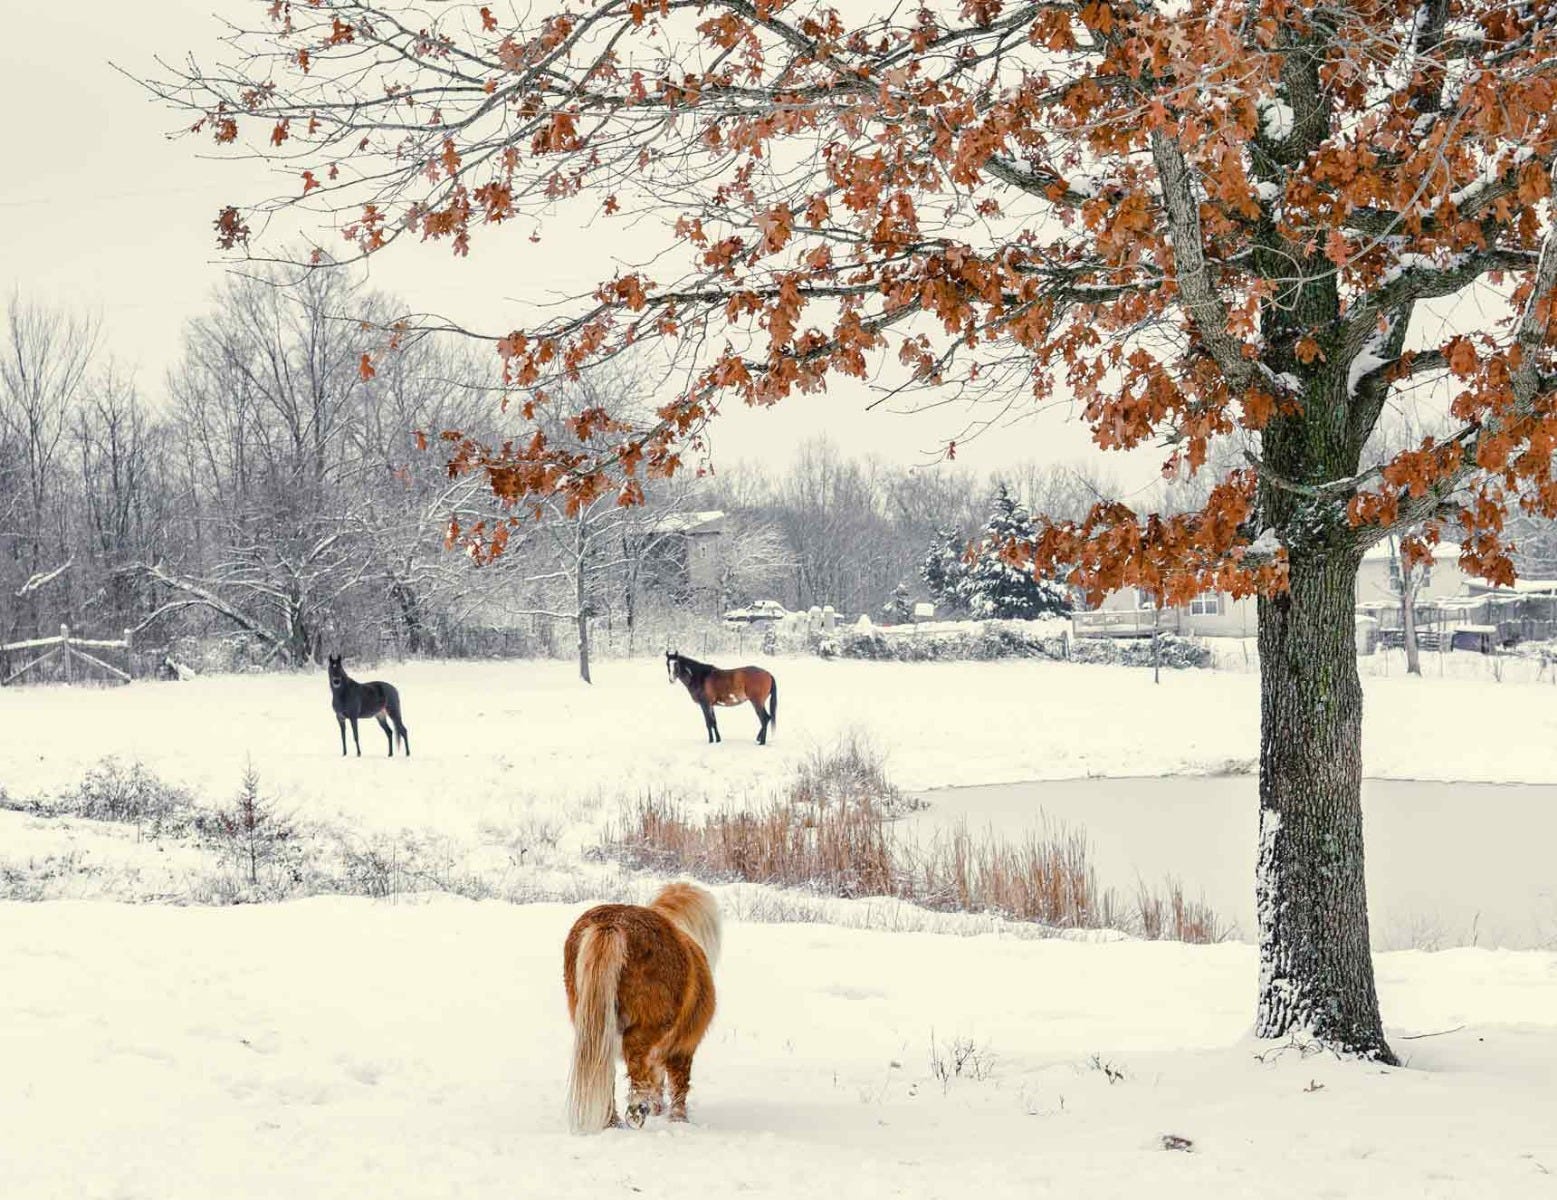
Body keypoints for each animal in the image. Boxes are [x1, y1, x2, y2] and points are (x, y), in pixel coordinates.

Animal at [566, 877, 722, 1133]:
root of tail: (612, 923)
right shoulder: (683, 1047)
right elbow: (679, 1085)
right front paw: (678, 1120)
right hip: (649, 1025)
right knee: (637, 1061)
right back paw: (637, 1110)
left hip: (596, 1024)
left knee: (608, 1071)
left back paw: (614, 1122)